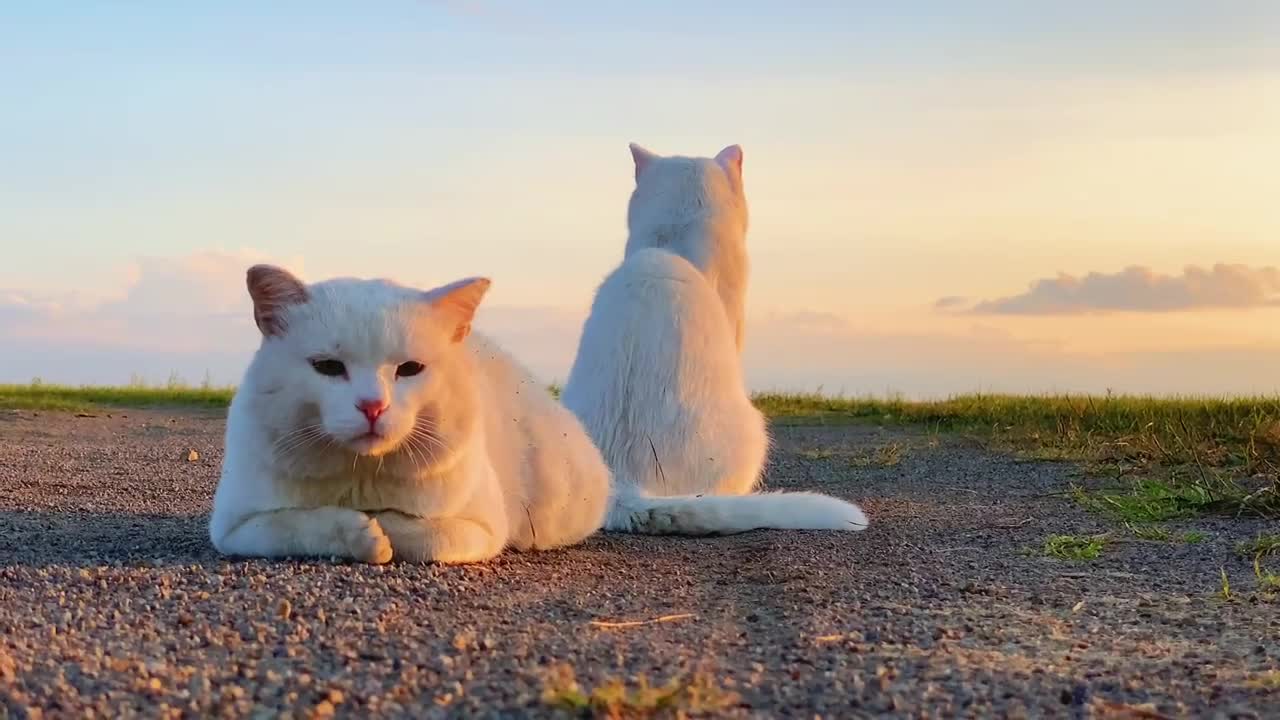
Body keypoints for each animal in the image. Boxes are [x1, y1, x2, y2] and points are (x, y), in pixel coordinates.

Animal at [209, 266, 609, 563]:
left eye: (410, 369)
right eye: (328, 367)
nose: (372, 405)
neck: (362, 473)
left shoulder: (481, 527)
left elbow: (423, 534)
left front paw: (378, 529)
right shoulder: (235, 528)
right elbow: (299, 524)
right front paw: (362, 535)